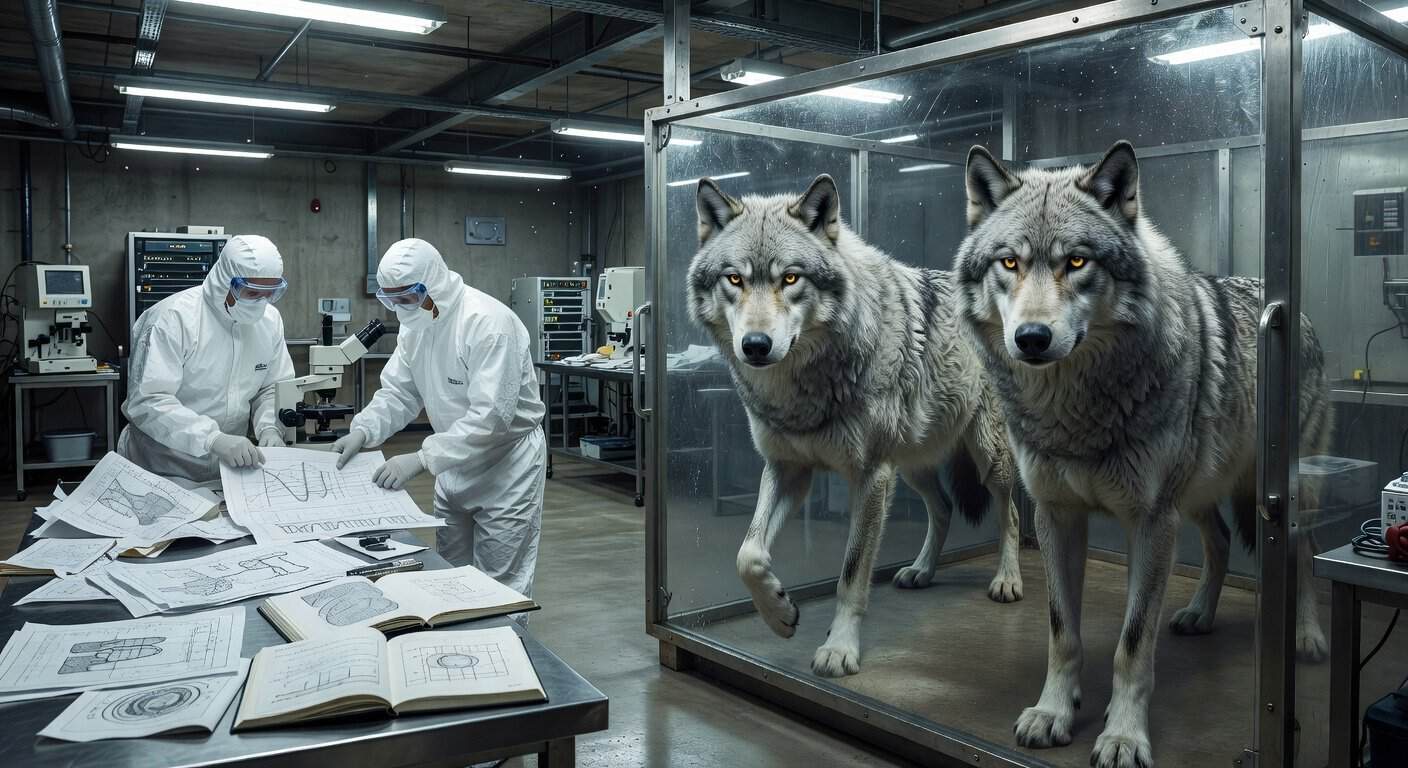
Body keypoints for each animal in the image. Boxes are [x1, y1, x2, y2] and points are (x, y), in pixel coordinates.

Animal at [686, 174, 1023, 678]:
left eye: (790, 278)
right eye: (735, 279)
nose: (756, 345)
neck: (803, 392)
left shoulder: (870, 476)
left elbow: (850, 574)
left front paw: (839, 649)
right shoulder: (787, 469)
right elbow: (748, 555)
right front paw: (780, 614)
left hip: (986, 458)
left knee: (1011, 512)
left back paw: (1007, 579)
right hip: (913, 464)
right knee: (942, 508)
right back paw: (921, 571)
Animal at [953, 140, 1331, 768]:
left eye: (1076, 262)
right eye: (1009, 264)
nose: (1031, 338)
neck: (1075, 413)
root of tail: (1292, 309)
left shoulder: (1149, 522)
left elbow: (1132, 645)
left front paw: (1124, 736)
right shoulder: (1057, 515)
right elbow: (1062, 631)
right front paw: (1054, 712)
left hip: (1281, 490)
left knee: (1301, 554)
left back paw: (1306, 637)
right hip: (1198, 494)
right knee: (1219, 542)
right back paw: (1199, 614)